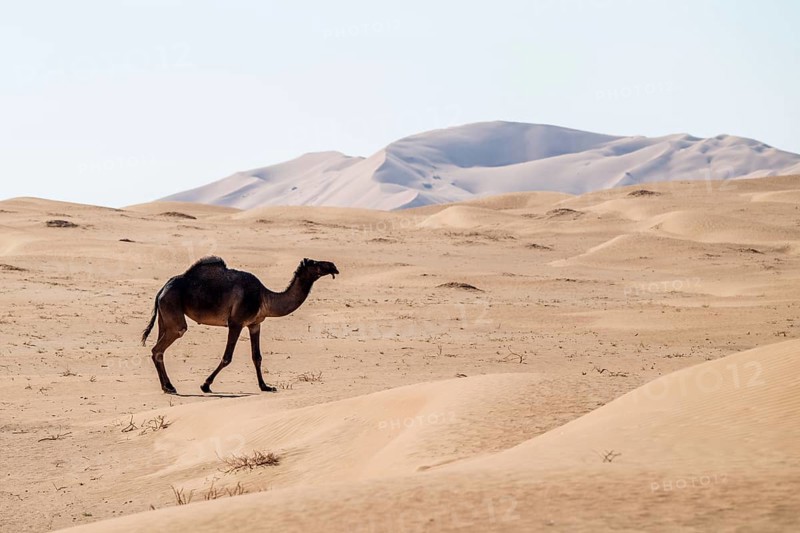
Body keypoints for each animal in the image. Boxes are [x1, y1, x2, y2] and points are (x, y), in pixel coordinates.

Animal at [141, 256, 338, 394]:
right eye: (316, 263)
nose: (333, 266)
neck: (265, 298)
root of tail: (162, 289)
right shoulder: (236, 322)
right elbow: (227, 357)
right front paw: (205, 385)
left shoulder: (255, 324)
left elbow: (257, 357)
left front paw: (265, 386)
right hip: (174, 313)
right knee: (161, 346)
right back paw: (169, 387)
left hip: (164, 317)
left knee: (158, 350)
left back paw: (167, 386)